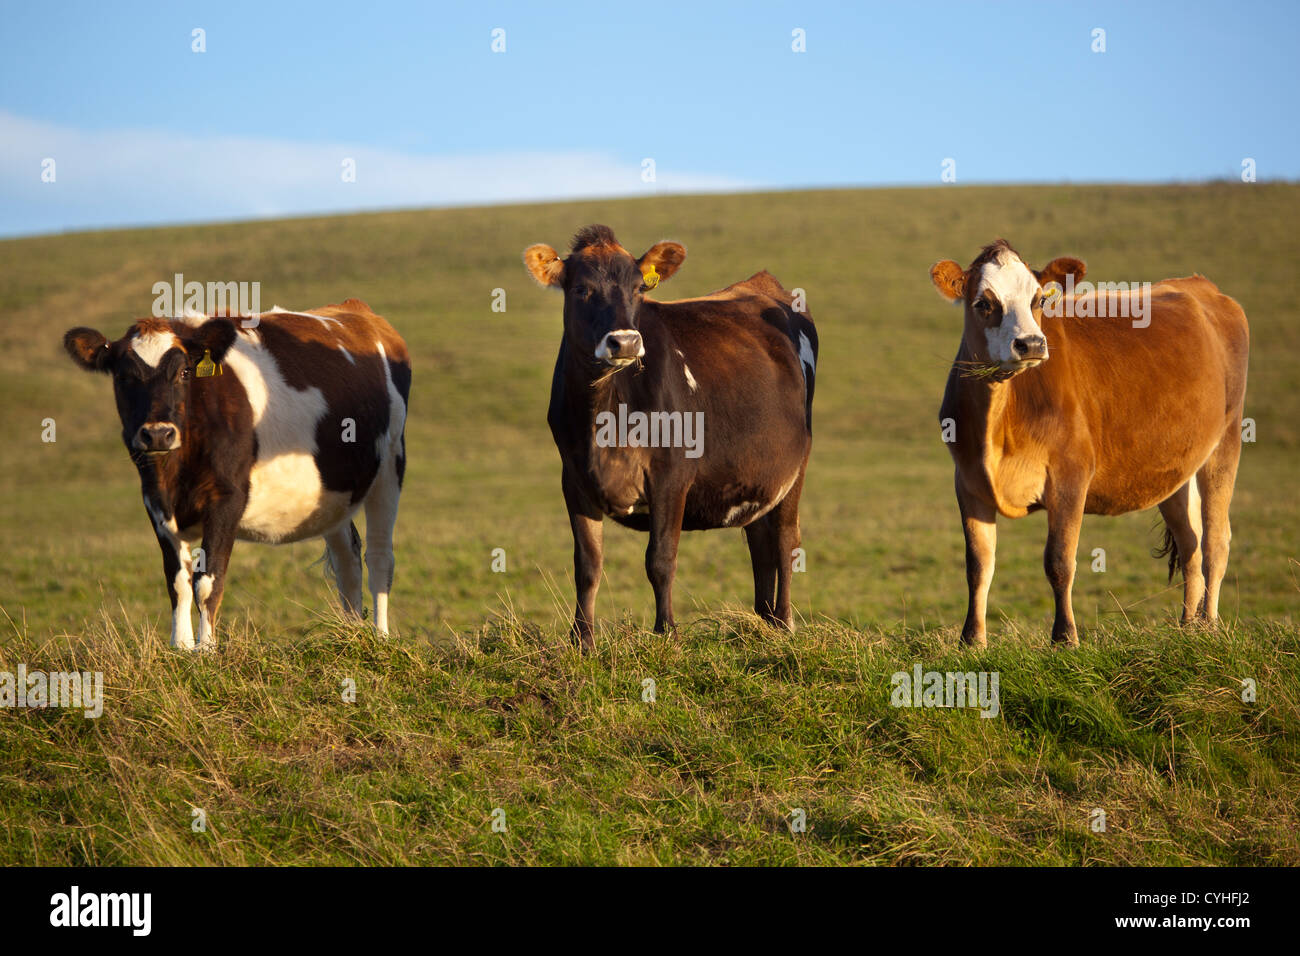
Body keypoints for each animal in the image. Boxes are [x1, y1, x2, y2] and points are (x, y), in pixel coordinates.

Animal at [62, 300, 411, 651]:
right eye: (123, 376)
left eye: (184, 372)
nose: (158, 434)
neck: (175, 470)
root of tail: (356, 309)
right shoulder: (155, 501)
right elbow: (177, 581)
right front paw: (180, 648)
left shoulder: (226, 498)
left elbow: (207, 581)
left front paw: (205, 650)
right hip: (333, 495)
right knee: (347, 558)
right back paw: (352, 635)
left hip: (390, 465)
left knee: (379, 557)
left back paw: (380, 638)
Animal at [523, 225, 818, 649]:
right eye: (581, 289)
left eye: (638, 289)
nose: (626, 342)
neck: (602, 416)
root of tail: (762, 284)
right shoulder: (574, 479)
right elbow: (588, 564)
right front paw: (582, 640)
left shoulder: (672, 475)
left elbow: (660, 559)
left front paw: (667, 634)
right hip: (754, 475)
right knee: (760, 542)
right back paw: (763, 624)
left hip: (795, 468)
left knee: (784, 540)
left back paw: (783, 623)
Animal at [930, 239, 1249, 647]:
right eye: (984, 303)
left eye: (1039, 299)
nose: (1031, 344)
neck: (999, 421)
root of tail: (1198, 284)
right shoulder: (968, 481)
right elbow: (978, 565)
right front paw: (972, 641)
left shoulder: (1071, 475)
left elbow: (1059, 561)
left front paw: (1065, 638)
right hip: (1175, 464)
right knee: (1190, 541)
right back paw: (1187, 628)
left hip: (1226, 438)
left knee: (1215, 541)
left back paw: (1208, 625)